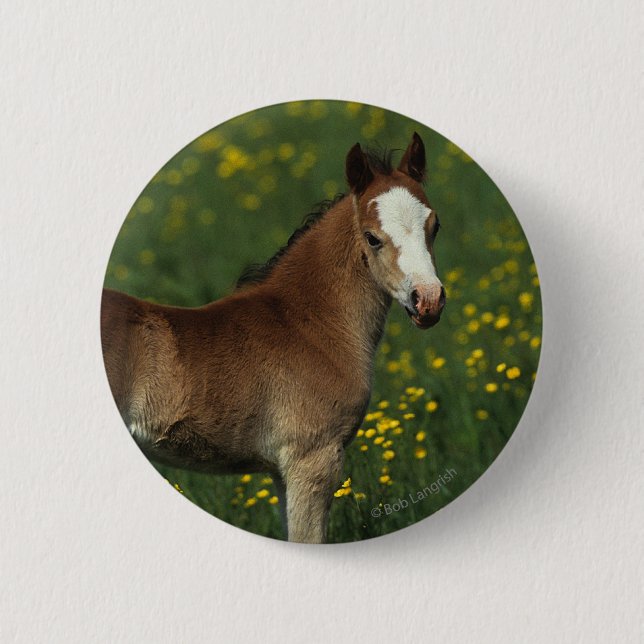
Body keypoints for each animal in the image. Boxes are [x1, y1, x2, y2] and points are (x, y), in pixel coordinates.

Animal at [101, 132, 445, 543]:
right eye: (372, 238)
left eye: (436, 226)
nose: (428, 300)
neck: (307, 325)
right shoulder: (312, 458)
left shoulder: (283, 470)